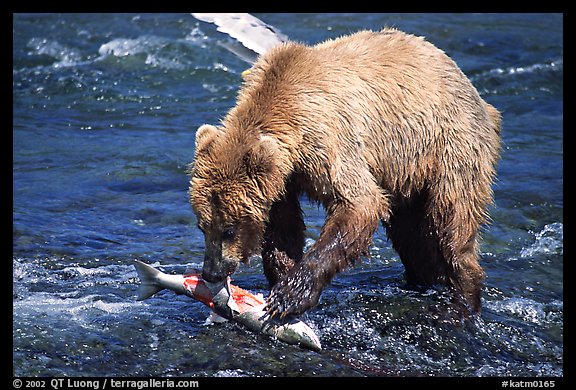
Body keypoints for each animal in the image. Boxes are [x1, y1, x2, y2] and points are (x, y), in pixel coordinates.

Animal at [188, 28, 500, 320]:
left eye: (229, 228)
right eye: (203, 226)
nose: (212, 272)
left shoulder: (328, 142)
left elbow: (359, 203)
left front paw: (290, 295)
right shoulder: (282, 181)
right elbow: (283, 228)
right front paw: (281, 277)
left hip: (450, 148)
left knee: (451, 226)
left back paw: (464, 298)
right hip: (406, 177)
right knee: (412, 238)